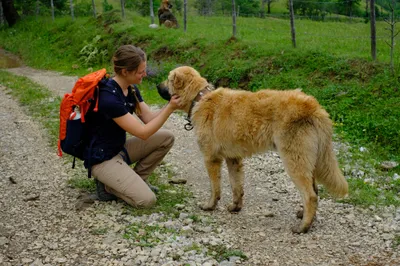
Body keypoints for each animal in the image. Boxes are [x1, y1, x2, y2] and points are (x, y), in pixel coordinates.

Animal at [158, 66, 348, 233]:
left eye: (168, 79)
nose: (156, 86)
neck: (200, 97)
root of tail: (314, 107)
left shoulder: (211, 158)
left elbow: (215, 187)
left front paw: (210, 205)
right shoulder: (233, 159)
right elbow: (236, 186)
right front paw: (235, 206)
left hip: (294, 160)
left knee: (310, 195)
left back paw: (303, 227)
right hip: (308, 161)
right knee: (315, 191)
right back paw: (306, 216)